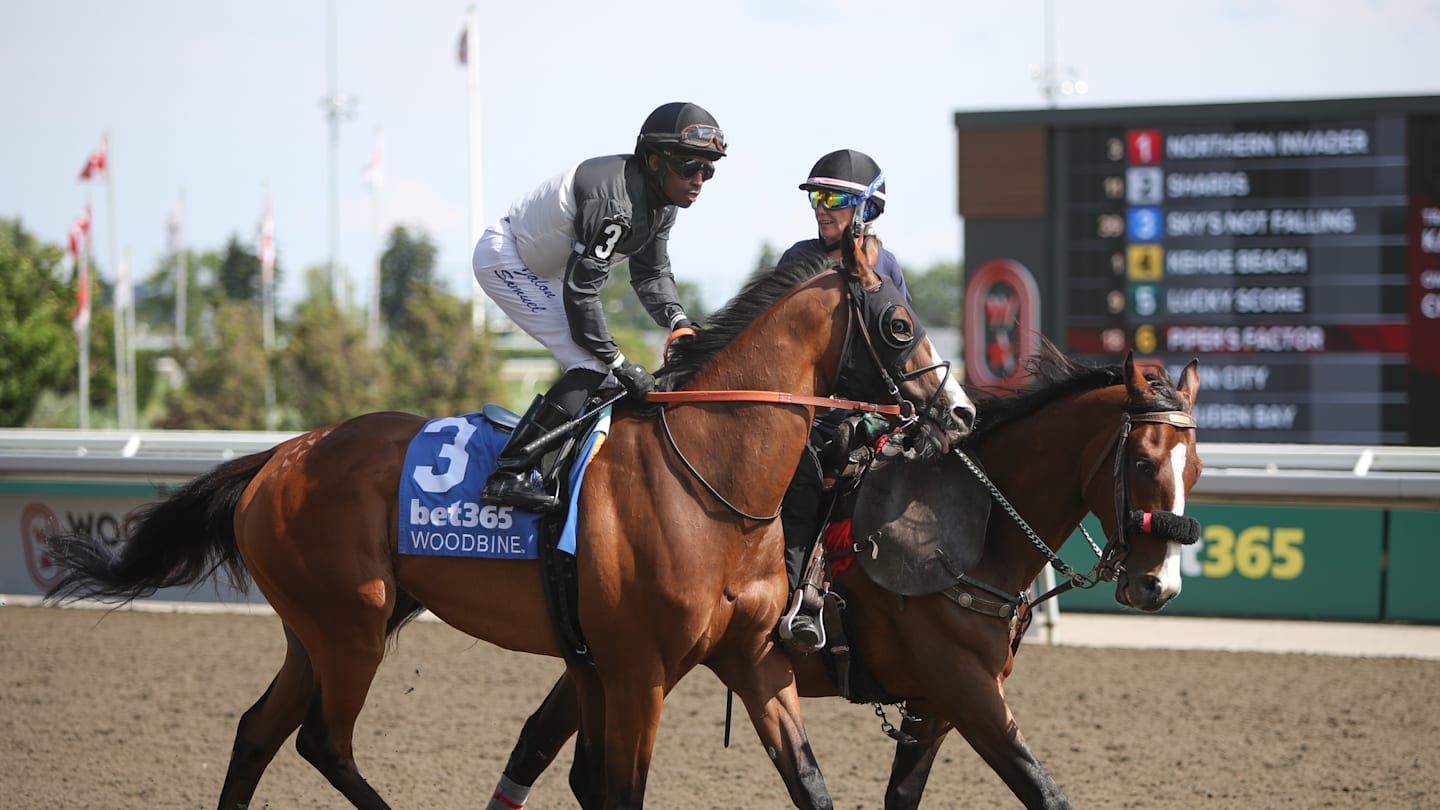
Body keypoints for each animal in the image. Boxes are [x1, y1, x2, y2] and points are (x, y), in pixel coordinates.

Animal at [41, 231, 977, 810]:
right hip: (351, 629)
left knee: (256, 733)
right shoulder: (636, 671)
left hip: (319, 629)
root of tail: (280, 455)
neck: (711, 480)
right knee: (322, 743)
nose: (961, 414)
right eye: (899, 323)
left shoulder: (749, 659)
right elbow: (620, 791)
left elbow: (810, 784)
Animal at [480, 345, 1202, 809]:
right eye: (1142, 462)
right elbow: (1045, 792)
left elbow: (902, 796)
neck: (969, 528)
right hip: (644, 660)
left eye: (1194, 469)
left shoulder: (936, 705)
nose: (1158, 586)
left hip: (618, 657)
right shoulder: (965, 689)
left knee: (542, 742)